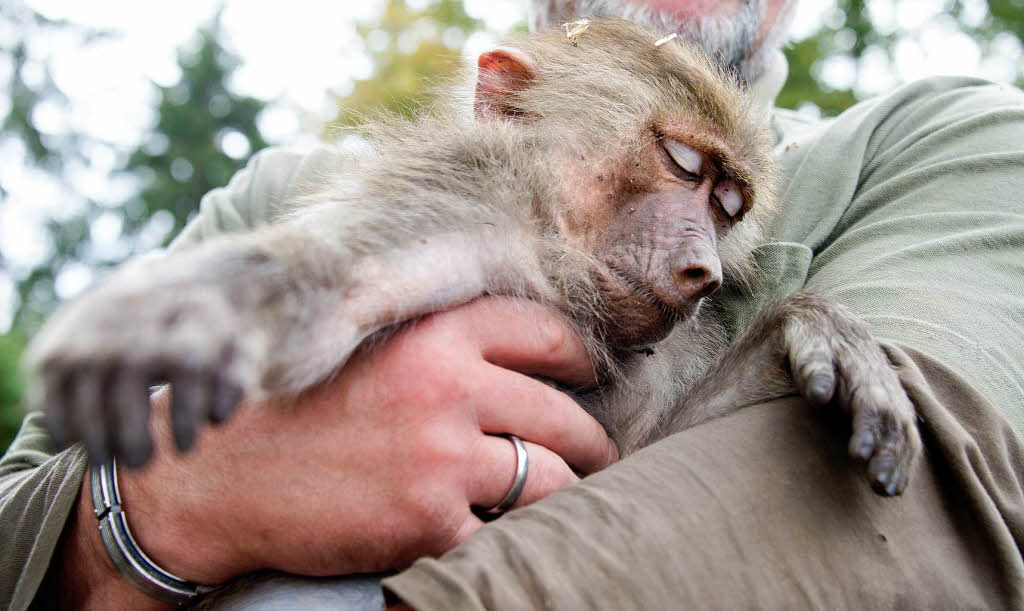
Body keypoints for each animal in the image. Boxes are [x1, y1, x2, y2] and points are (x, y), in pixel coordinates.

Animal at [24, 19, 921, 497]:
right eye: (683, 164)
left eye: (728, 202)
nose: (704, 270)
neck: (554, 257)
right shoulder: (476, 201)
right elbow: (331, 287)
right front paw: (198, 312)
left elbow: (634, 464)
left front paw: (798, 333)